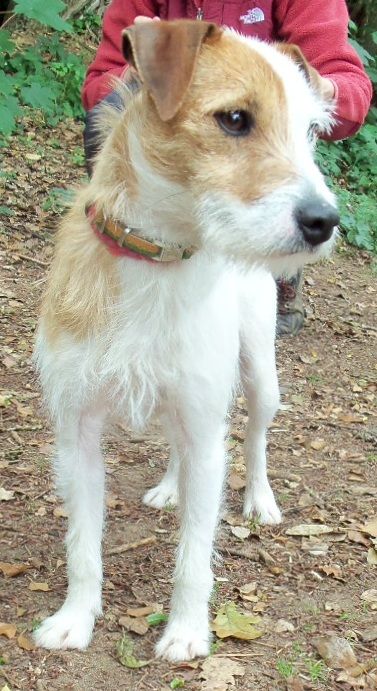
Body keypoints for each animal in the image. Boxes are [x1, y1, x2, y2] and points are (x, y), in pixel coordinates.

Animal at [33, 18, 338, 664]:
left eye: (309, 131)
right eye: (235, 119)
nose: (326, 221)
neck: (159, 260)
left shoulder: (204, 426)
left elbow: (194, 553)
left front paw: (188, 631)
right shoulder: (78, 433)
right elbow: (82, 543)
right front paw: (75, 619)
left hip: (260, 377)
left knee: (254, 438)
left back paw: (261, 500)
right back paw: (171, 487)